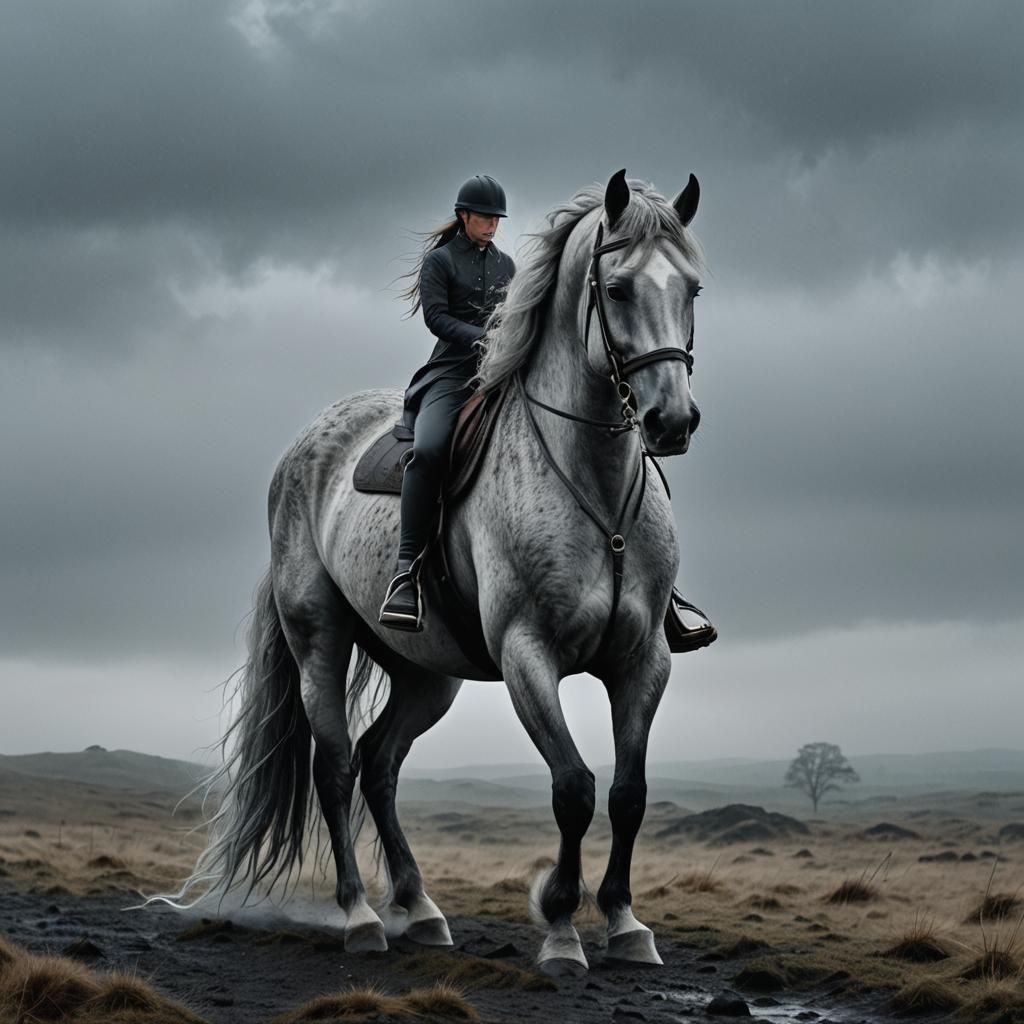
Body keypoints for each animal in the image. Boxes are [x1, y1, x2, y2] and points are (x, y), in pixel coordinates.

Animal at [160, 169, 707, 974]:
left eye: (691, 288)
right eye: (617, 288)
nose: (672, 422)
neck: (595, 485)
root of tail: (301, 450)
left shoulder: (644, 661)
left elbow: (629, 793)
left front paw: (626, 924)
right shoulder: (527, 656)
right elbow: (574, 788)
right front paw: (560, 928)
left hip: (427, 673)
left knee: (380, 763)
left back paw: (419, 908)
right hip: (321, 644)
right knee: (337, 768)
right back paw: (360, 915)